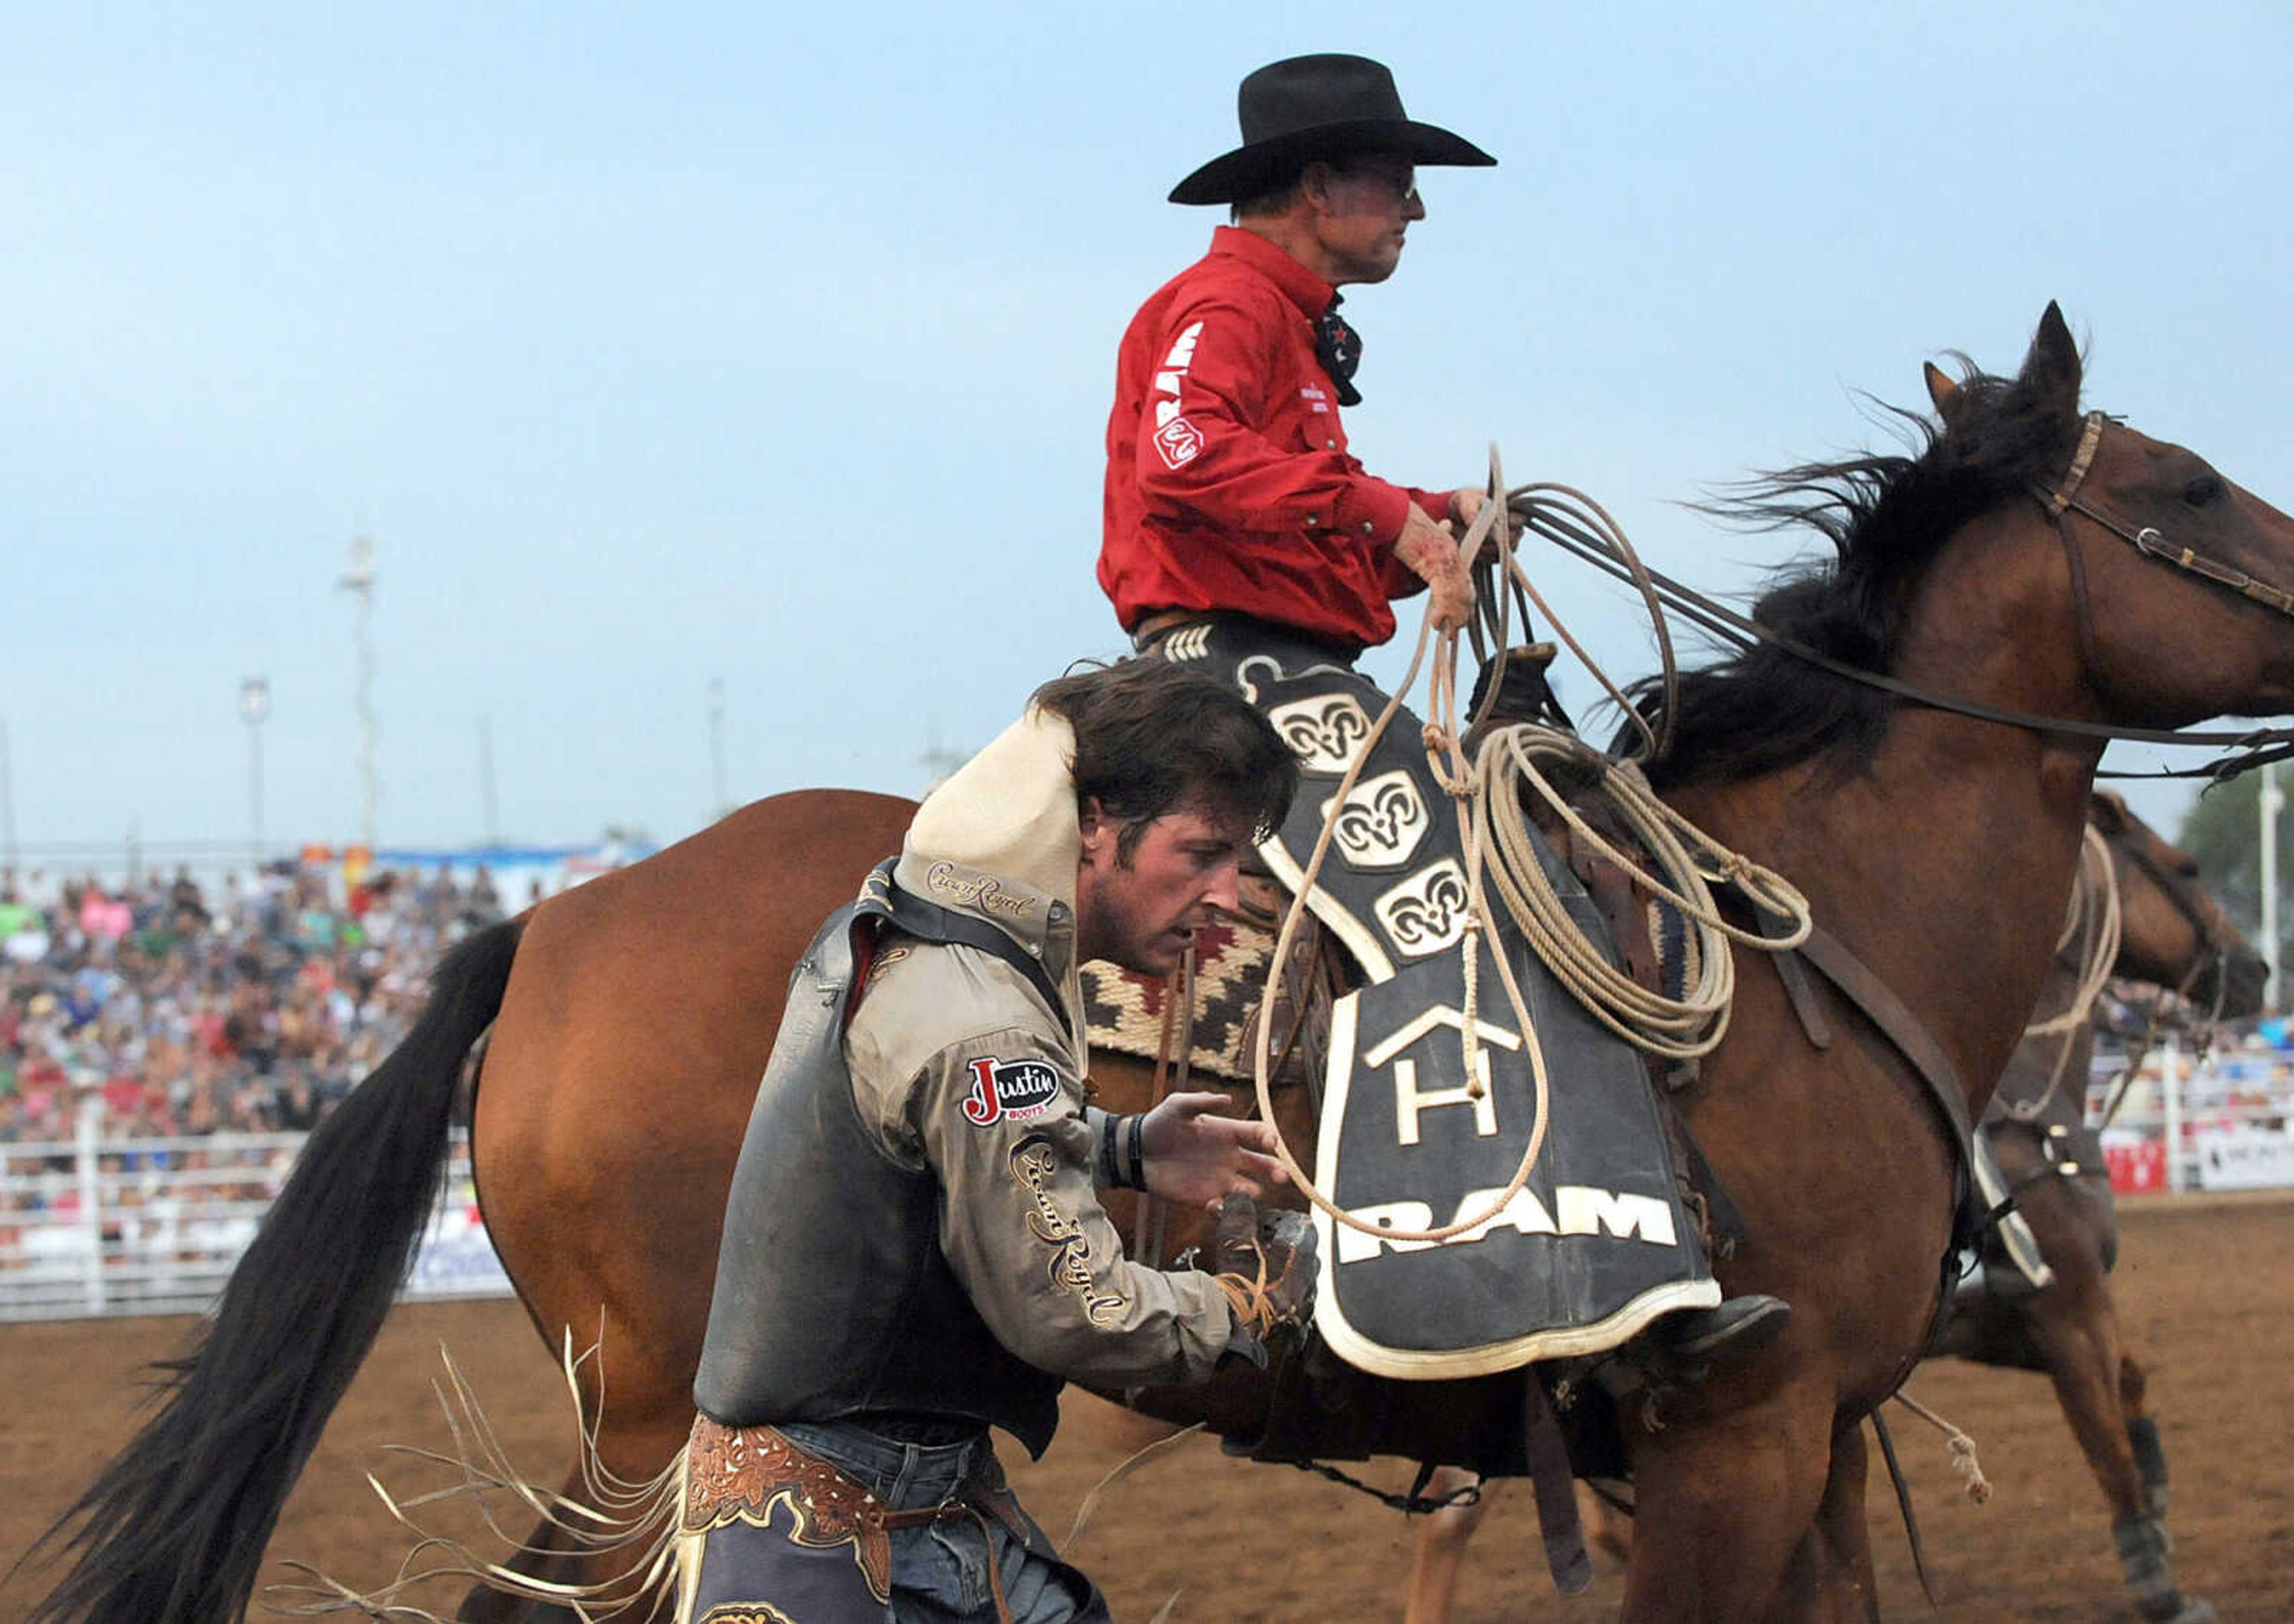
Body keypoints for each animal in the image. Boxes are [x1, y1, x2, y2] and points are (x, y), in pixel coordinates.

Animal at [1404, 793, 2266, 1624]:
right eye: (2186, 867)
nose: (2256, 968)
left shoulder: (2011, 1331)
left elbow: (2133, 1389)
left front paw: (2158, 1484)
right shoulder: (2068, 1312)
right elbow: (2107, 1439)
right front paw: (2158, 1579)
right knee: (1460, 1515)